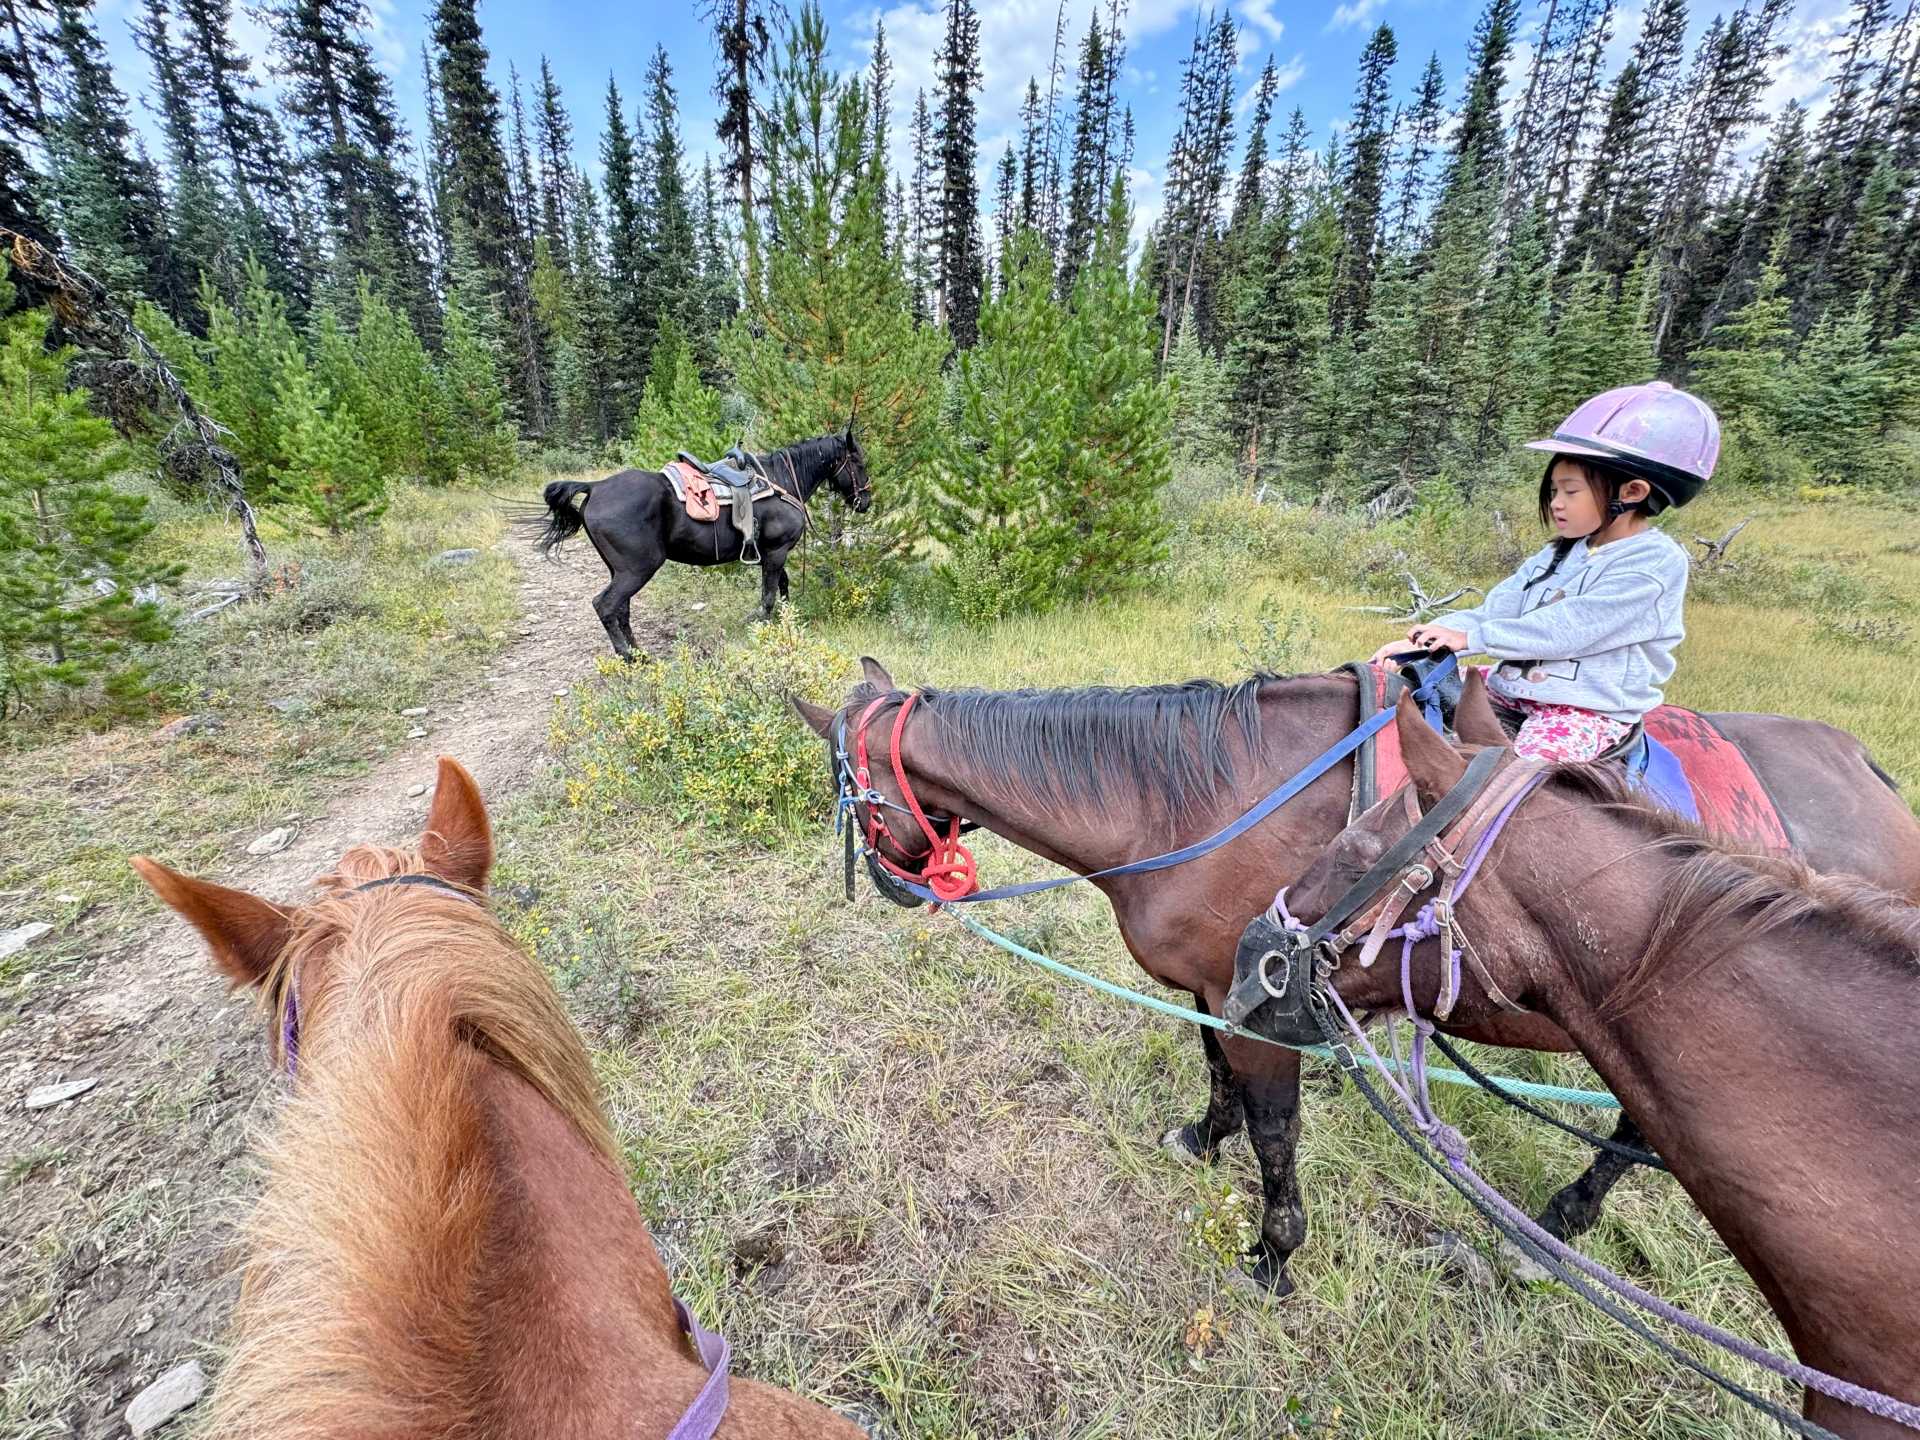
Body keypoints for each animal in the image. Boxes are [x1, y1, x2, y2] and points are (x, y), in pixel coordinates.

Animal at [537, 422, 875, 660]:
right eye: (859, 463)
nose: (866, 501)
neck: (782, 480)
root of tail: (595, 487)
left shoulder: (769, 552)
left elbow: (781, 586)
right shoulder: (777, 550)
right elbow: (769, 594)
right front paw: (765, 626)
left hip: (619, 570)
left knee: (622, 609)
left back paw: (639, 652)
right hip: (637, 569)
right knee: (606, 606)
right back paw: (629, 657)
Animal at [794, 660, 1920, 1305]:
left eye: (843, 786)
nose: (898, 881)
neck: (1195, 801)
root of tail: (1870, 775)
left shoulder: (1272, 1015)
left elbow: (1277, 1135)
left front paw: (1275, 1257)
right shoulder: (1218, 989)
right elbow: (1215, 1075)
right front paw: (1203, 1138)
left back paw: (1557, 1226)